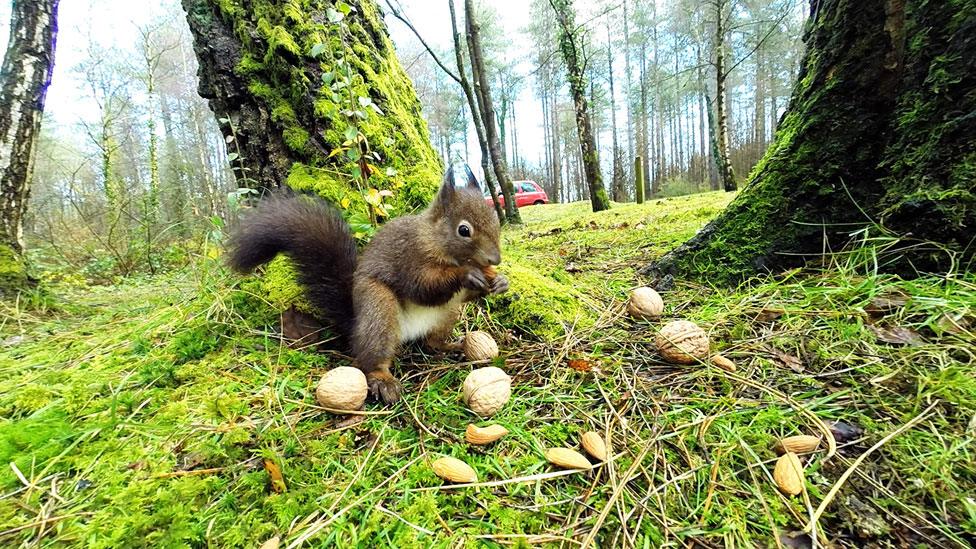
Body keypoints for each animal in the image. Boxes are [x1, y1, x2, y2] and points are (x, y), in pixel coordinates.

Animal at [226, 167, 508, 402]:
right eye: (464, 230)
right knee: (371, 358)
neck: (435, 240)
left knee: (431, 343)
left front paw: (499, 282)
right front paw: (467, 274)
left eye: (496, 219)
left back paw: (451, 347)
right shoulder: (409, 257)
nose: (496, 259)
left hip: (446, 315)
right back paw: (383, 381)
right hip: (378, 306)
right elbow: (423, 288)